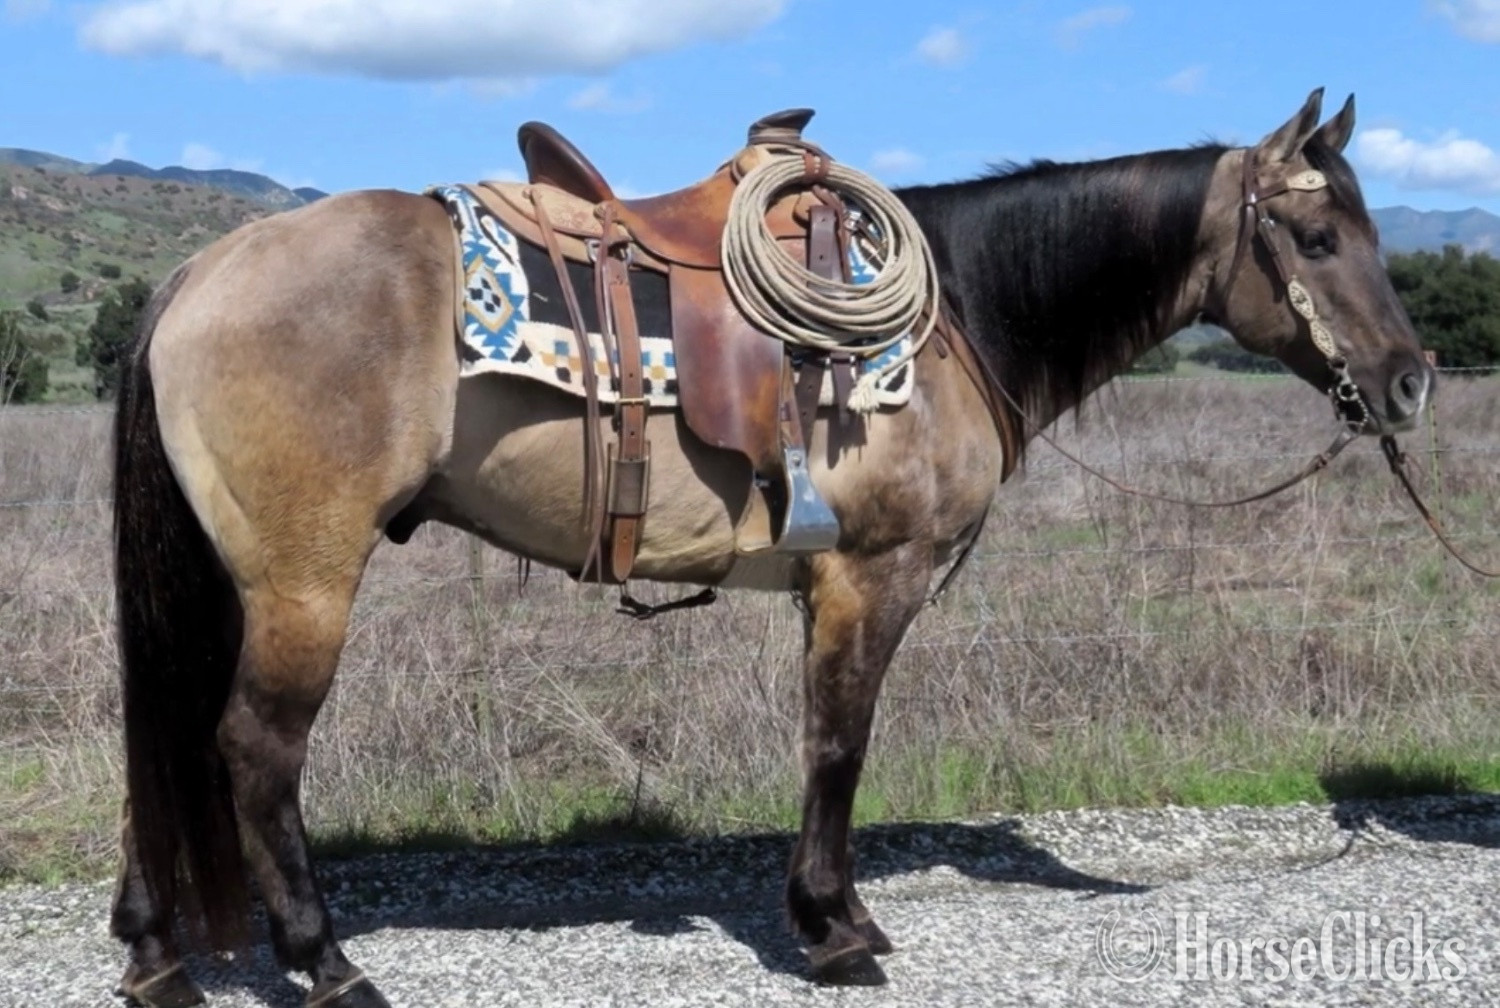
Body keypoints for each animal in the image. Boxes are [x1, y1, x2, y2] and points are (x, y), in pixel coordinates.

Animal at [109, 89, 1430, 1006]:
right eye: (1316, 239)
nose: (1410, 381)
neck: (960, 314)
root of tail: (200, 272)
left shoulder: (823, 586)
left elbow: (822, 742)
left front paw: (826, 915)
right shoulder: (871, 575)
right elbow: (840, 746)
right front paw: (837, 930)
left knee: (168, 739)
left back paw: (159, 955)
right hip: (303, 582)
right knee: (255, 749)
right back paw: (325, 962)